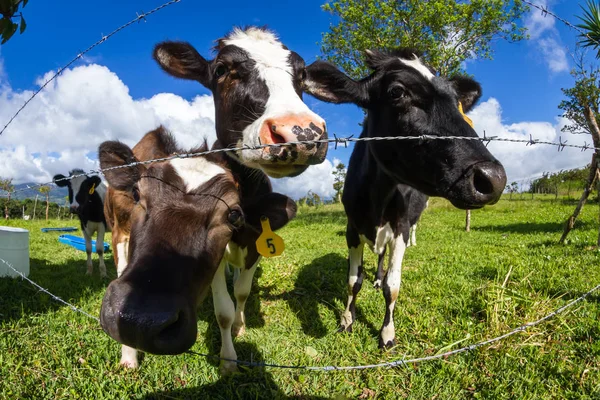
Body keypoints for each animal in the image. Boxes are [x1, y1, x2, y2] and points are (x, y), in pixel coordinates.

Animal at [101, 127, 298, 372]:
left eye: (233, 214)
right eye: (136, 194)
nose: (139, 321)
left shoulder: (254, 248)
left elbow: (238, 296)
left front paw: (231, 351)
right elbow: (224, 309)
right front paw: (129, 354)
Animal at [304, 49, 506, 350]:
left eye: (456, 100)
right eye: (397, 92)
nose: (493, 178)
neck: (377, 198)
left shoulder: (399, 227)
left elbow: (393, 286)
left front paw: (387, 333)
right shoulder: (352, 227)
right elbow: (353, 280)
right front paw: (347, 320)